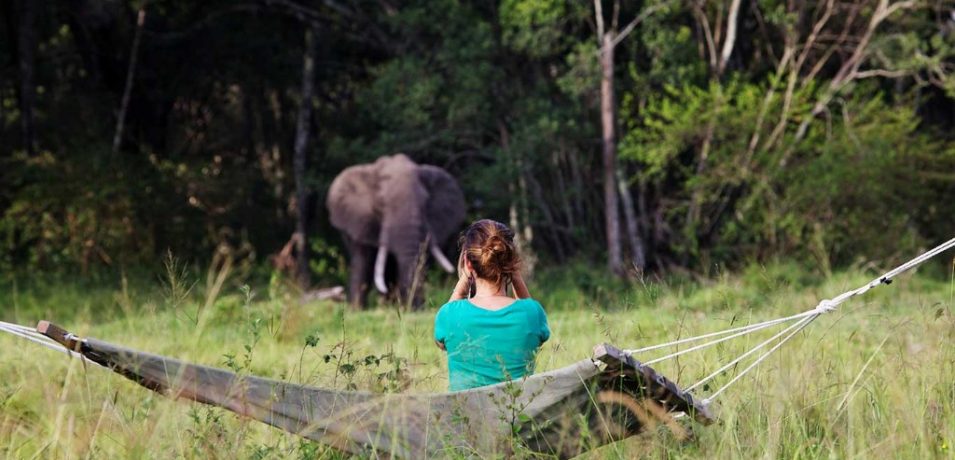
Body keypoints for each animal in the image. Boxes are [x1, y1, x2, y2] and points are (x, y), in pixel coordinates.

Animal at [324, 155, 466, 310]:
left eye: (426, 202)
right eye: (381, 203)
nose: (415, 308)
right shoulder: (360, 220)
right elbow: (363, 260)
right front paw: (356, 310)